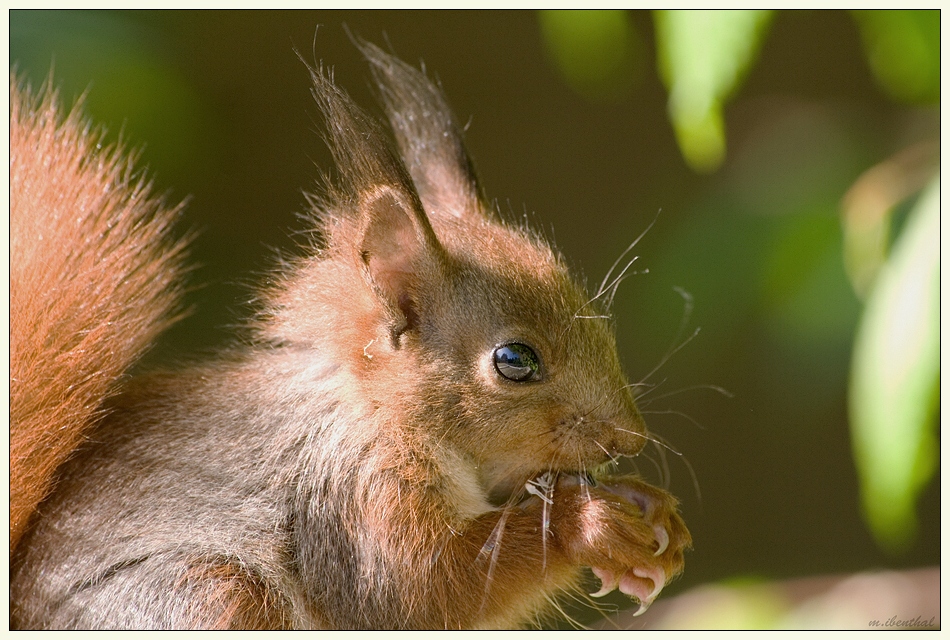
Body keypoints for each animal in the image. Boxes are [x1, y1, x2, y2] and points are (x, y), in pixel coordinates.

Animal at [9, 41, 692, 632]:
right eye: (514, 360)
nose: (631, 439)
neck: (379, 408)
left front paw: (644, 506)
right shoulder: (349, 497)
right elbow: (425, 590)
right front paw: (591, 523)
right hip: (205, 596)